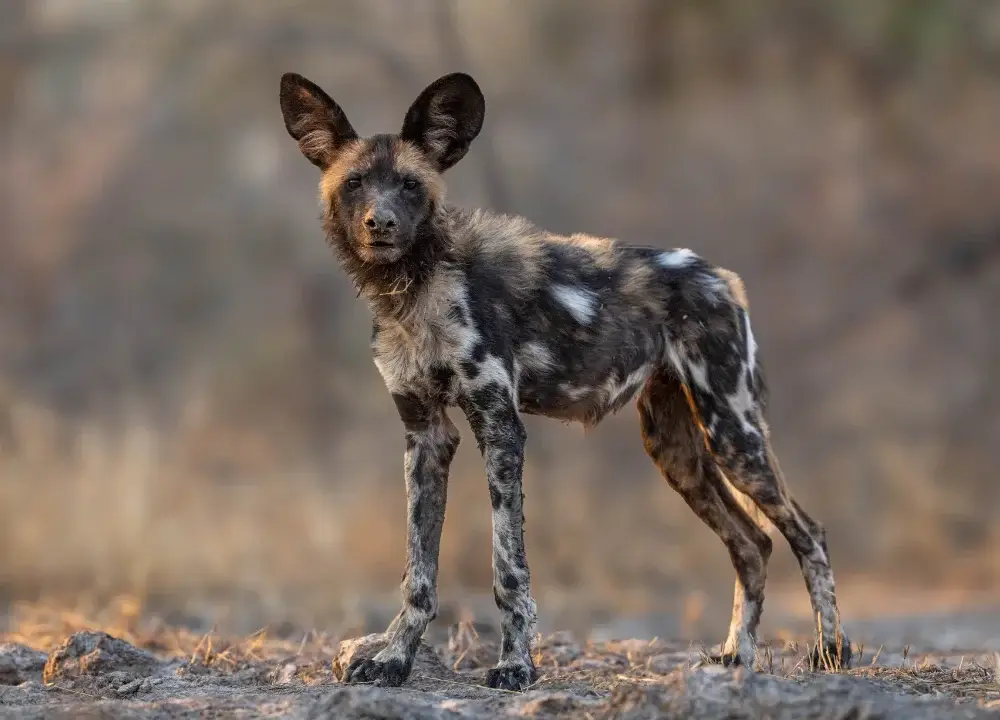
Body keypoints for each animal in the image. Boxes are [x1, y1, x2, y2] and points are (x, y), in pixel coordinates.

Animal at [278, 70, 851, 690]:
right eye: (355, 183)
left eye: (409, 185)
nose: (379, 223)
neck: (414, 287)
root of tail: (720, 277)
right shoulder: (425, 439)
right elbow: (418, 575)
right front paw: (393, 659)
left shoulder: (500, 430)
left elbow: (509, 571)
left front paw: (515, 666)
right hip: (676, 452)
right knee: (752, 544)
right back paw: (736, 655)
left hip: (734, 437)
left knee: (807, 534)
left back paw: (830, 652)